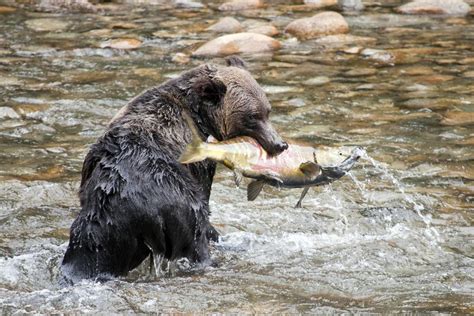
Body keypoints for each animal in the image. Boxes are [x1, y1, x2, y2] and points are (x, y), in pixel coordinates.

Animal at [60, 56, 286, 284]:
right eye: (253, 116)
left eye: (267, 111)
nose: (279, 144)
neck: (201, 115)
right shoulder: (199, 162)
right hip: (178, 204)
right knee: (197, 234)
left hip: (107, 228)